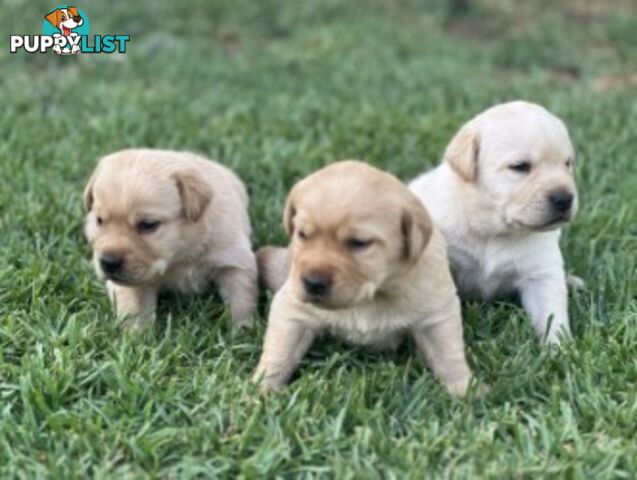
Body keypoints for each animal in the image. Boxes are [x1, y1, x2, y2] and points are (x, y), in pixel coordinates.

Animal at [83, 150, 258, 330]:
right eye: (99, 221)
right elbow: (135, 308)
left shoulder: (233, 261)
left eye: (148, 225)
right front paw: (137, 334)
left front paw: (242, 329)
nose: (108, 262)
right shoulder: (134, 282)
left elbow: (241, 299)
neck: (179, 257)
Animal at [253, 161, 472, 398]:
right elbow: (279, 352)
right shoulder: (292, 307)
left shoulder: (436, 313)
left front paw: (465, 389)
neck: (374, 296)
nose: (312, 283)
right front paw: (262, 388)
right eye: (302, 234)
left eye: (358, 243)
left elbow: (448, 354)